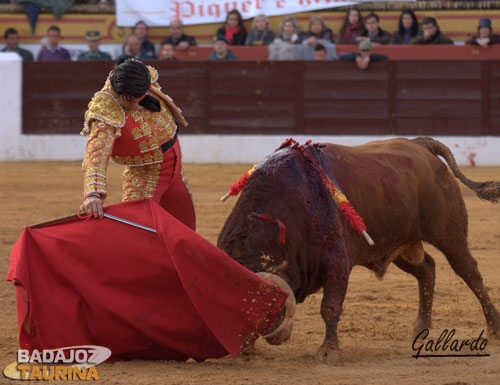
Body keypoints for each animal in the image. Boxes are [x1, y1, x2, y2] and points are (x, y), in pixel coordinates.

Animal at [218, 137, 500, 360]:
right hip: (399, 244)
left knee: (470, 272)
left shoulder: (337, 263)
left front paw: (328, 352)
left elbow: (330, 307)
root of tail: (420, 145)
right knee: (427, 269)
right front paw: (246, 347)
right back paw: (421, 326)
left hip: (450, 236)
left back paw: (494, 328)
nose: (277, 337)